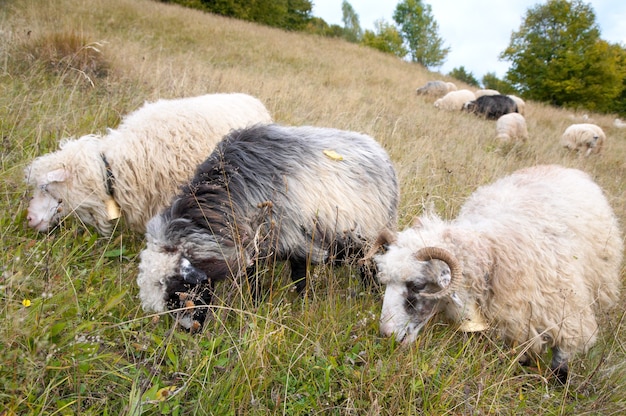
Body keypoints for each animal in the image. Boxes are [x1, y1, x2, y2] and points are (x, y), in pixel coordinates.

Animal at [138, 123, 400, 332]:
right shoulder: (254, 246)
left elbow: (299, 278)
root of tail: (381, 151)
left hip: (371, 232)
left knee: (368, 266)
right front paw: (257, 302)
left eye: (181, 290)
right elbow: (253, 278)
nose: (189, 330)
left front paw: (304, 303)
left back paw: (371, 293)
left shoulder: (295, 239)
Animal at [366, 164, 620, 382]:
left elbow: (562, 358)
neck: (491, 249)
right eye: (385, 282)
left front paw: (560, 384)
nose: (387, 334)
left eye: (417, 285)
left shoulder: (565, 311)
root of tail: (563, 167)